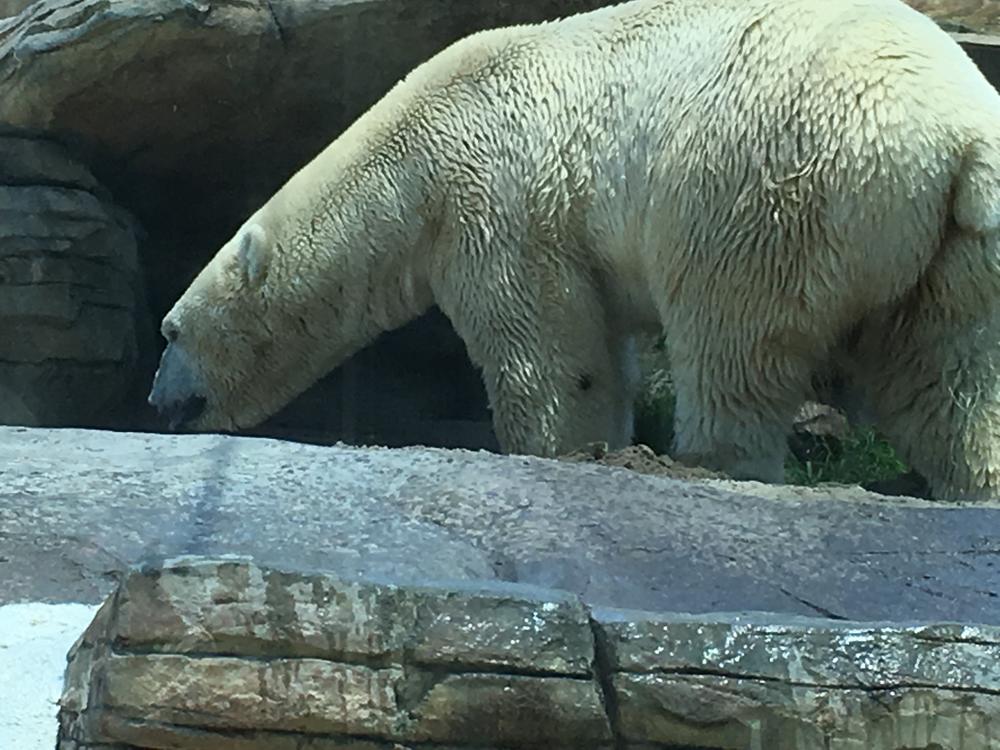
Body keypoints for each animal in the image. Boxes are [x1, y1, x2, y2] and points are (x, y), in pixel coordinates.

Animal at [148, 0, 1000, 501]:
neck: (411, 153)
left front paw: (562, 452)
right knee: (946, 374)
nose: (156, 403)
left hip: (766, 178)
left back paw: (708, 461)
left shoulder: (498, 197)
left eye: (171, 331)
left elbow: (549, 351)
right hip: (957, 249)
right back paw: (969, 485)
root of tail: (956, 135)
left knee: (735, 338)